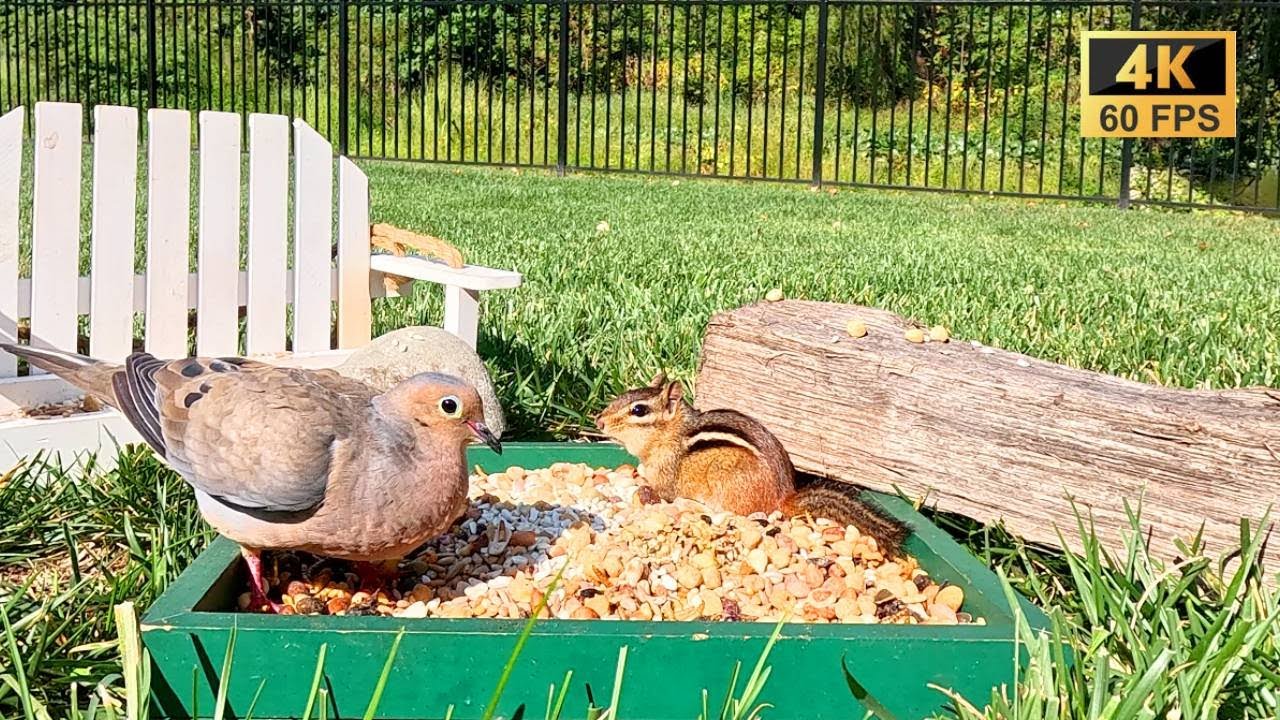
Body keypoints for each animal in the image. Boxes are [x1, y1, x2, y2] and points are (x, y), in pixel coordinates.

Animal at [594, 373, 908, 557]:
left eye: (639, 410)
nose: (599, 421)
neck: (672, 434)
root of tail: (784, 497)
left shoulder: (666, 471)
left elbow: (661, 491)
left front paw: (643, 488)